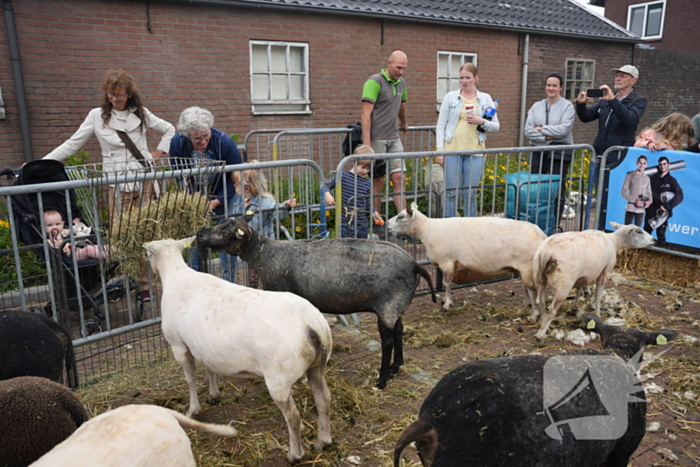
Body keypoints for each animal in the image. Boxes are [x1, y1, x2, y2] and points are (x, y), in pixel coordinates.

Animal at [143, 238, 334, 464]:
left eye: (148, 255)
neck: (175, 273)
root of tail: (312, 324)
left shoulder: (178, 345)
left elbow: (190, 379)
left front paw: (192, 410)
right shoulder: (204, 347)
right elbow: (209, 369)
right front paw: (214, 395)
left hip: (278, 377)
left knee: (293, 416)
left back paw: (295, 454)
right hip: (317, 366)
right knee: (324, 399)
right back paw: (323, 440)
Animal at [194, 214, 434, 390]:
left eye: (227, 231)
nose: (199, 233)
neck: (263, 254)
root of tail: (415, 264)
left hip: (388, 304)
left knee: (388, 341)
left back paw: (382, 380)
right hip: (396, 304)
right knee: (399, 330)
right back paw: (397, 366)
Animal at [388, 204, 548, 310]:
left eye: (400, 217)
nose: (387, 225)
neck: (428, 230)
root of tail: (541, 234)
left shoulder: (447, 262)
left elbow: (447, 283)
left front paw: (447, 304)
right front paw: (446, 300)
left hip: (528, 267)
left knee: (535, 288)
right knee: (528, 287)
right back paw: (528, 305)